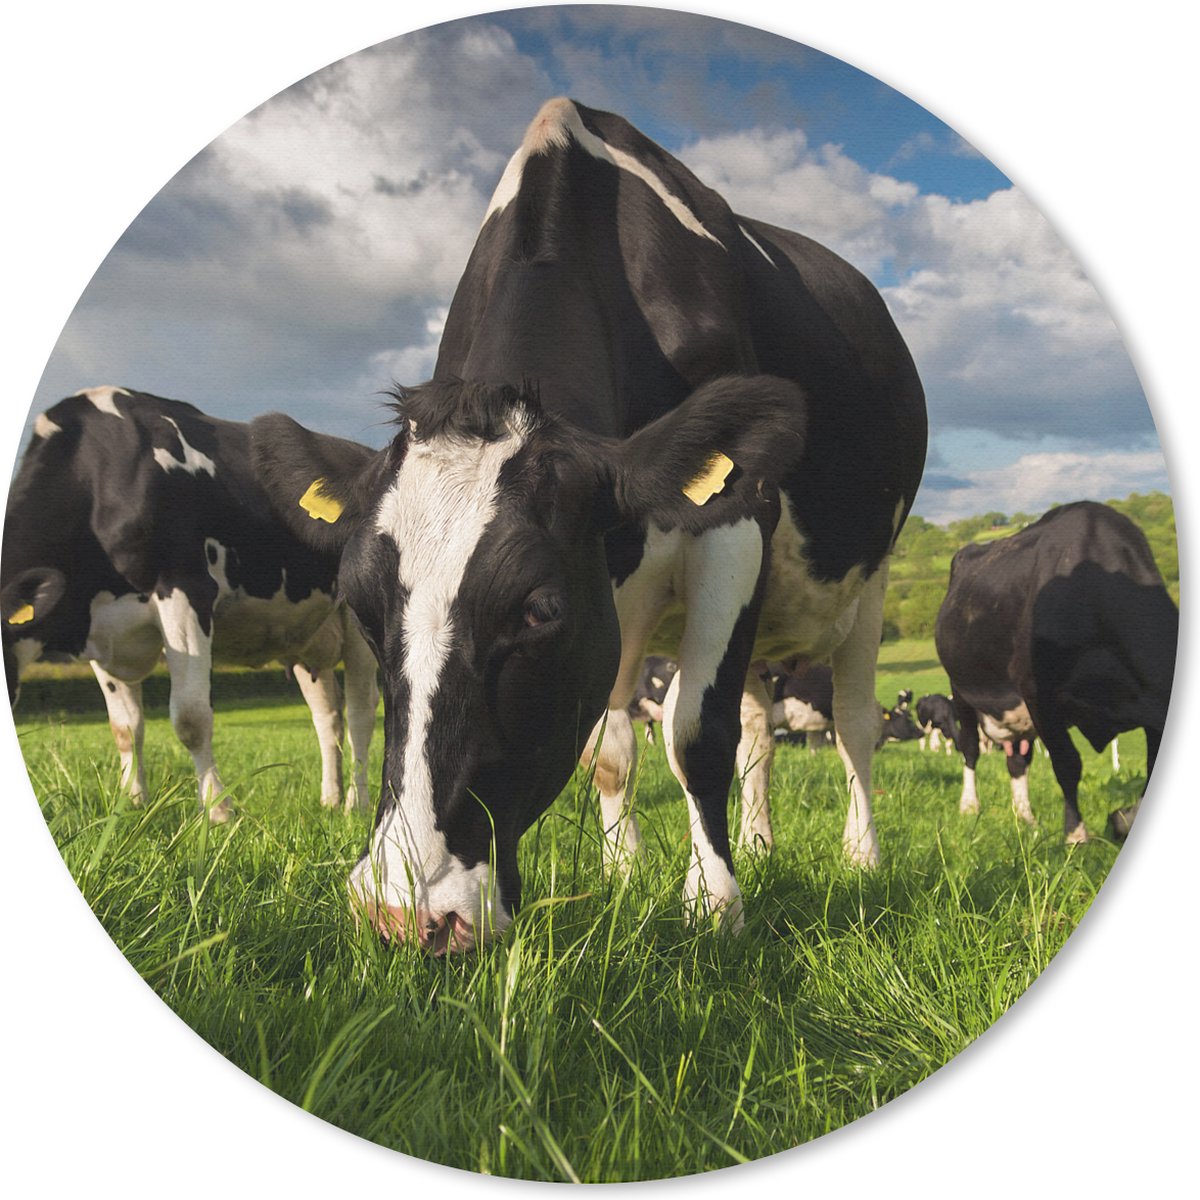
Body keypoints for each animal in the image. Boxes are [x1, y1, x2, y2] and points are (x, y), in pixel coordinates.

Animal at [2, 387, 380, 820]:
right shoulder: (101, 630)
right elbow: (125, 727)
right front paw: (132, 803)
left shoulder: (186, 590)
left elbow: (191, 718)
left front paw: (218, 809)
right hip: (305, 637)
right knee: (327, 715)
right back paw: (330, 798)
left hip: (357, 619)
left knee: (361, 712)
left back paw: (356, 804)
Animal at [253, 98, 926, 951]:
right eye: (362, 609)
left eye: (538, 610)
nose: (406, 913)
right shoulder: (612, 597)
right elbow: (612, 752)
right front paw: (624, 873)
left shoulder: (737, 518)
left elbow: (695, 731)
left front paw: (715, 906)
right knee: (757, 730)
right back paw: (760, 841)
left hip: (869, 583)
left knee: (853, 722)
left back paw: (861, 855)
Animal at [934, 501, 1177, 843]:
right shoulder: (1039, 693)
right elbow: (1067, 763)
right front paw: (1076, 835)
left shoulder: (1150, 705)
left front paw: (1120, 819)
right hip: (961, 691)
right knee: (969, 748)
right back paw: (969, 806)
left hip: (1018, 718)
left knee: (1017, 760)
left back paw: (1025, 818)